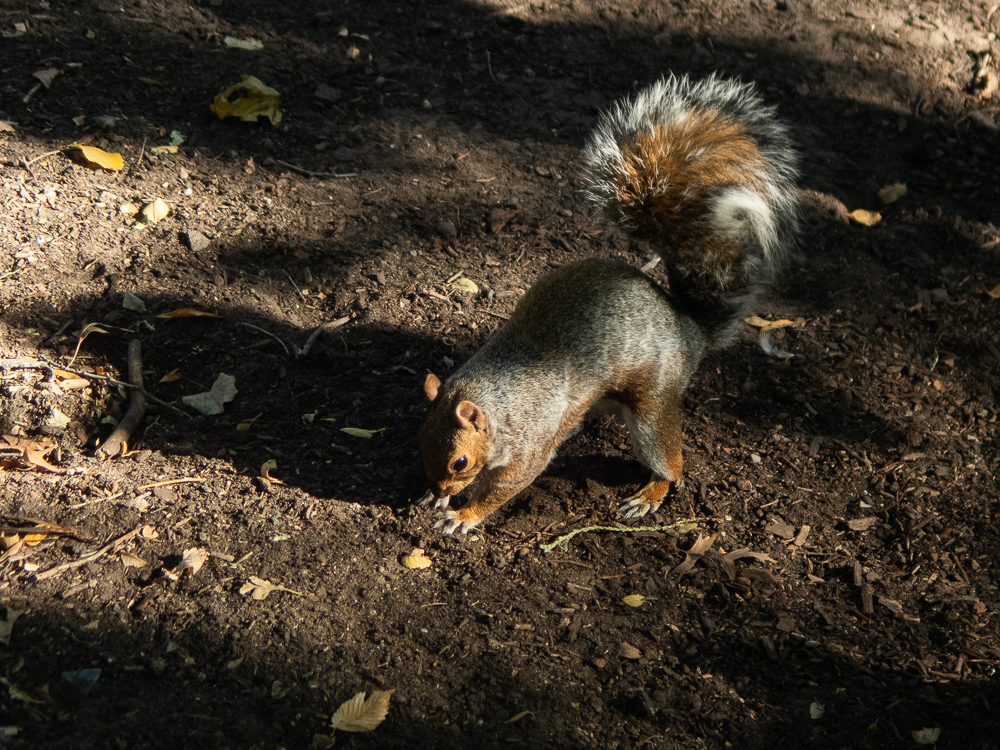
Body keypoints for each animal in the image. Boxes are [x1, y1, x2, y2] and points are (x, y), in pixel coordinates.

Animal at [414, 75, 796, 536]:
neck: (497, 398)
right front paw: (434, 497)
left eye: (460, 461)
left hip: (652, 408)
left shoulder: (529, 443)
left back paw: (650, 495)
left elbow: (508, 484)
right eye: (420, 439)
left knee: (672, 464)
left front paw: (463, 514)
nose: (438, 488)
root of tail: (690, 329)